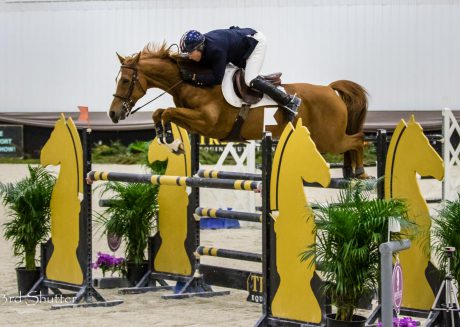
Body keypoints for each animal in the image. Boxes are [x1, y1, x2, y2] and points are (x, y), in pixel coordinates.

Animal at [109, 43, 368, 179]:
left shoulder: (207, 122)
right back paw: (349, 172)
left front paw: (172, 142)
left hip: (328, 140)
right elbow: (161, 113)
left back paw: (360, 172)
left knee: (358, 139)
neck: (191, 81)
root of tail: (329, 89)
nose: (113, 114)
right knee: (354, 141)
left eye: (125, 81)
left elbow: (167, 112)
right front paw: (172, 142)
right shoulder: (194, 120)